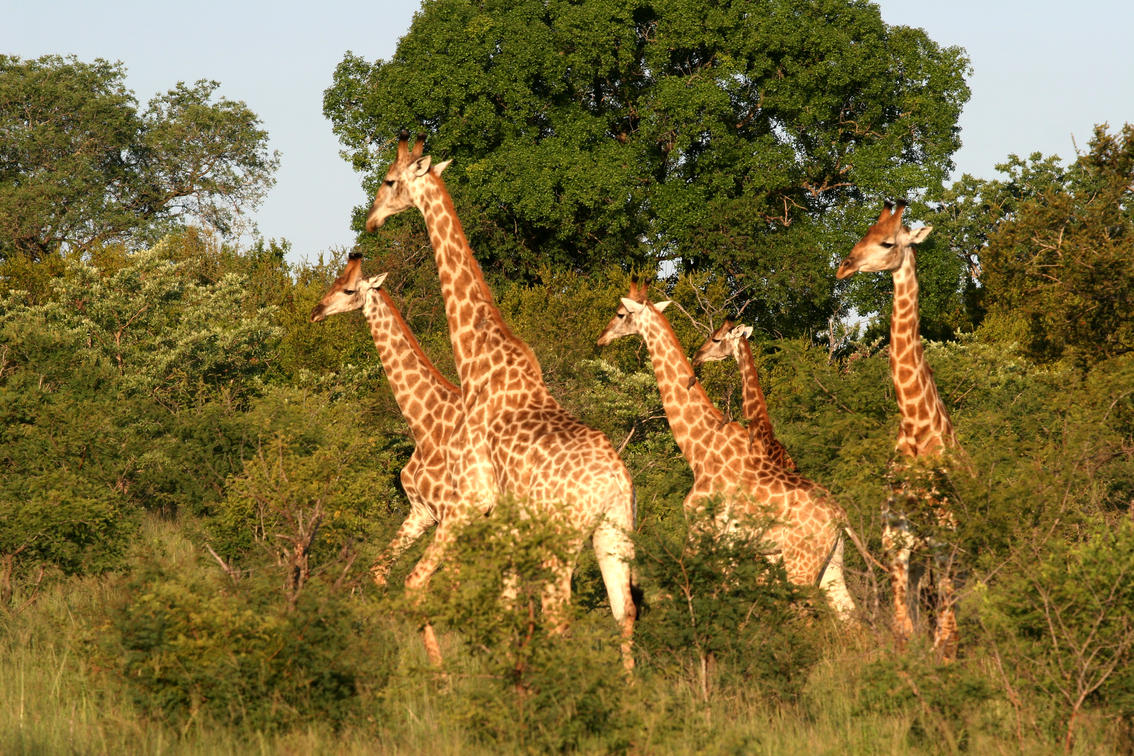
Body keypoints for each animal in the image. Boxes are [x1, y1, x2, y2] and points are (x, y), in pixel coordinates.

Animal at [363, 133, 637, 669]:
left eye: (389, 181)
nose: (371, 222)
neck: (476, 360)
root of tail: (614, 484)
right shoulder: (505, 522)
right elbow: (505, 605)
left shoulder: (473, 498)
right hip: (614, 532)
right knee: (624, 612)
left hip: (562, 538)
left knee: (561, 614)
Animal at [836, 200, 963, 660]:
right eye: (864, 233)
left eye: (888, 242)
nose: (844, 266)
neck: (914, 427)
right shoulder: (897, 534)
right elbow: (903, 624)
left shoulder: (943, 530)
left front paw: (946, 648)